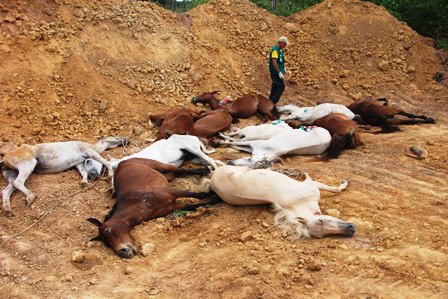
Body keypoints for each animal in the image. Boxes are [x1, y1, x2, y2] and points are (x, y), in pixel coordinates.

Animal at [0, 136, 130, 216]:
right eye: (116, 138)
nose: (126, 139)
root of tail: (5, 159)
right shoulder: (89, 151)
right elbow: (104, 161)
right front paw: (110, 173)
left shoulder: (79, 163)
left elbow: (82, 171)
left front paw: (84, 182)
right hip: (28, 163)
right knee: (18, 182)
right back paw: (31, 197)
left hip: (12, 173)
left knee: (7, 189)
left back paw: (7, 209)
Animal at [87, 158, 217, 258]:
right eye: (107, 244)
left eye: (107, 231)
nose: (122, 252)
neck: (134, 202)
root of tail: (120, 164)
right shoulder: (173, 206)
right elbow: (196, 205)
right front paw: (215, 200)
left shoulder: (171, 192)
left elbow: (199, 195)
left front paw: (215, 194)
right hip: (164, 176)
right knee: (176, 173)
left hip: (157, 164)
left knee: (179, 169)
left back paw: (205, 170)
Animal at [201, 166, 356, 239]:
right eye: (321, 221)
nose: (351, 228)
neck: (300, 202)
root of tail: (212, 180)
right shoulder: (312, 185)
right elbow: (335, 189)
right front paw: (345, 183)